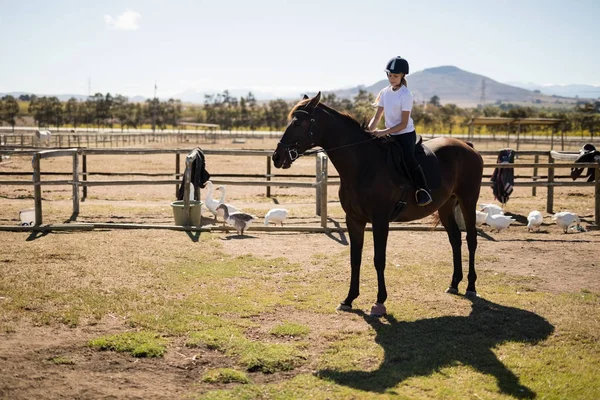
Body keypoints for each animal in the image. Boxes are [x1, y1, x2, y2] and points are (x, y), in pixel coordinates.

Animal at [272, 91, 482, 316]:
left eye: (298, 123)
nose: (277, 157)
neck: (364, 165)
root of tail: (468, 147)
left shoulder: (380, 221)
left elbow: (378, 259)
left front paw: (379, 302)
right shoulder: (354, 220)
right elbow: (355, 258)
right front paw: (349, 299)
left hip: (468, 201)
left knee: (471, 239)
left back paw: (471, 287)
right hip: (445, 206)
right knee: (455, 238)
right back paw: (454, 283)